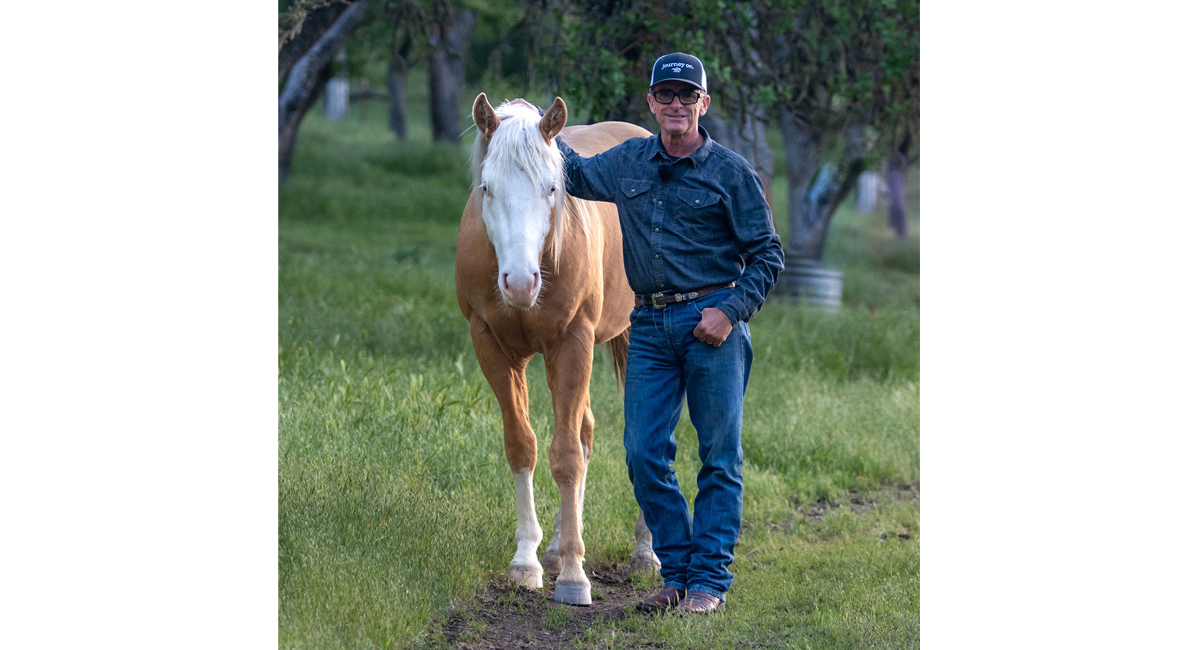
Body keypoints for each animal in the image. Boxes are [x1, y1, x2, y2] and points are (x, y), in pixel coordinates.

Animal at [454, 94, 659, 605]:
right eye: (486, 188)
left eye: (552, 188)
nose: (520, 283)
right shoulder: (492, 347)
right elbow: (523, 446)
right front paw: (528, 559)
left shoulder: (573, 343)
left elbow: (565, 457)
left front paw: (572, 576)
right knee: (585, 432)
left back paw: (645, 552)